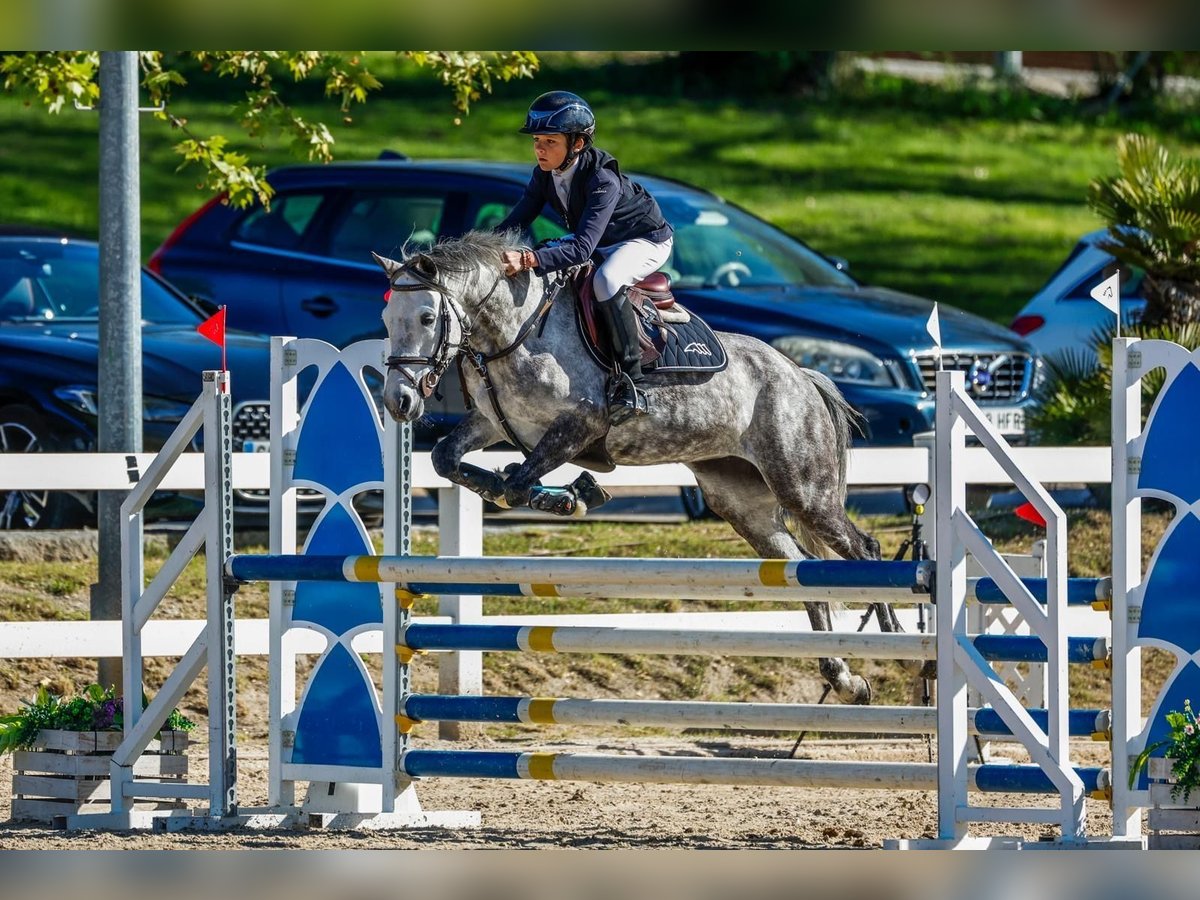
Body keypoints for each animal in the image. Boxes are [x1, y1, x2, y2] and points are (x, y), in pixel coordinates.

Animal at [374, 230, 913, 705]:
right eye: (385, 317)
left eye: (427, 316)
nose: (399, 402)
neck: (514, 332)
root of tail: (801, 375)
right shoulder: (492, 423)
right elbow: (453, 462)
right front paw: (551, 491)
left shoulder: (580, 424)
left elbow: (520, 483)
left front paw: (574, 496)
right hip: (742, 503)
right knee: (800, 569)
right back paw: (845, 679)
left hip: (803, 487)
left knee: (864, 550)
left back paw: (900, 648)